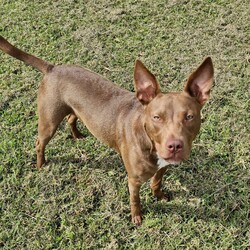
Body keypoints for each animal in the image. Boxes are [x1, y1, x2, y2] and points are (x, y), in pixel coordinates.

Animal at [0, 36, 213, 226]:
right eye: (156, 117)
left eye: (189, 117)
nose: (175, 146)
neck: (148, 140)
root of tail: (53, 68)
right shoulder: (134, 180)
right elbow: (135, 200)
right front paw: (137, 218)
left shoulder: (163, 166)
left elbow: (157, 181)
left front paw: (158, 195)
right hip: (49, 122)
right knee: (40, 143)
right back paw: (41, 164)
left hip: (75, 110)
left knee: (71, 118)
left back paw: (77, 135)